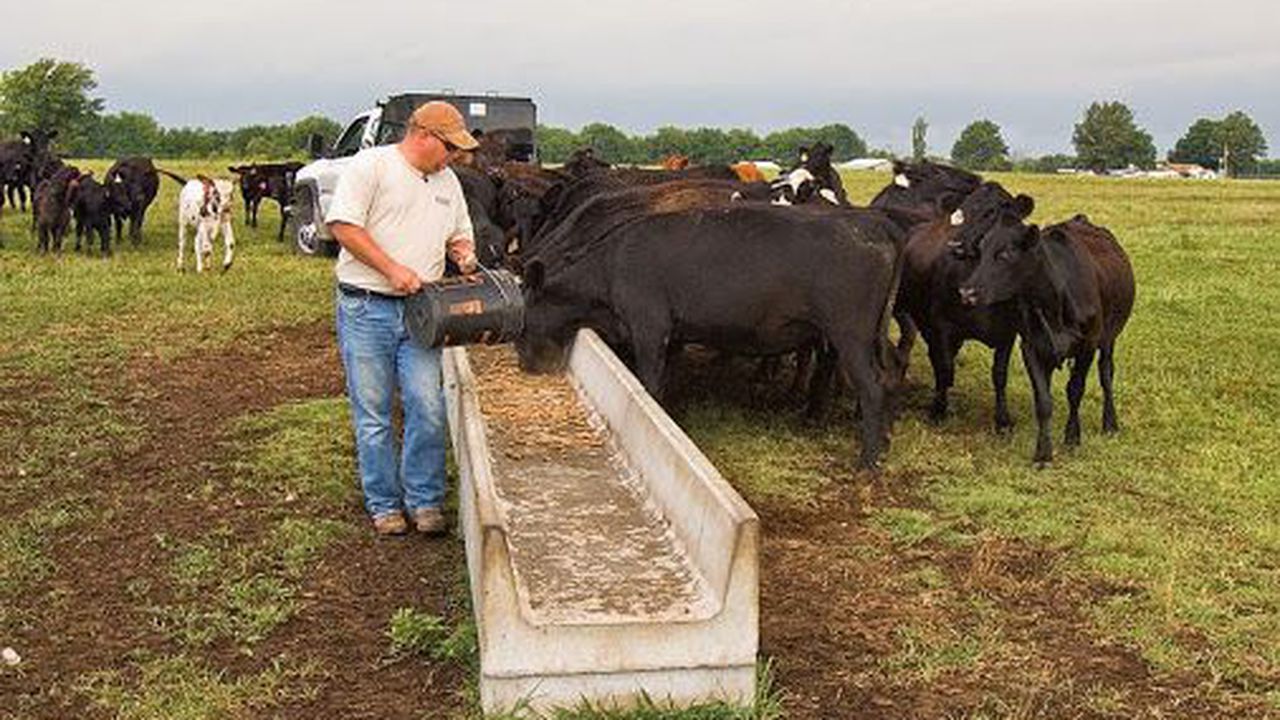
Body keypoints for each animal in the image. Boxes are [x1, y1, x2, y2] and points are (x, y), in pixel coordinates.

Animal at [517, 203, 901, 471]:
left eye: (524, 315)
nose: (522, 363)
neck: (609, 271)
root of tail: (869, 222)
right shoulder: (673, 335)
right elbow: (664, 381)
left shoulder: (649, 326)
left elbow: (649, 382)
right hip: (868, 335)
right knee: (891, 371)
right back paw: (884, 441)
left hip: (850, 334)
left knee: (872, 386)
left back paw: (867, 461)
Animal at [962, 204, 1131, 461]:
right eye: (980, 251)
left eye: (1005, 254)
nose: (967, 293)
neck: (1053, 301)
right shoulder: (1031, 346)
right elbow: (1043, 400)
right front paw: (1043, 451)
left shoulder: (1088, 344)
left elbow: (1075, 390)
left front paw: (1072, 436)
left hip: (1109, 338)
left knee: (1106, 373)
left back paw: (1110, 423)